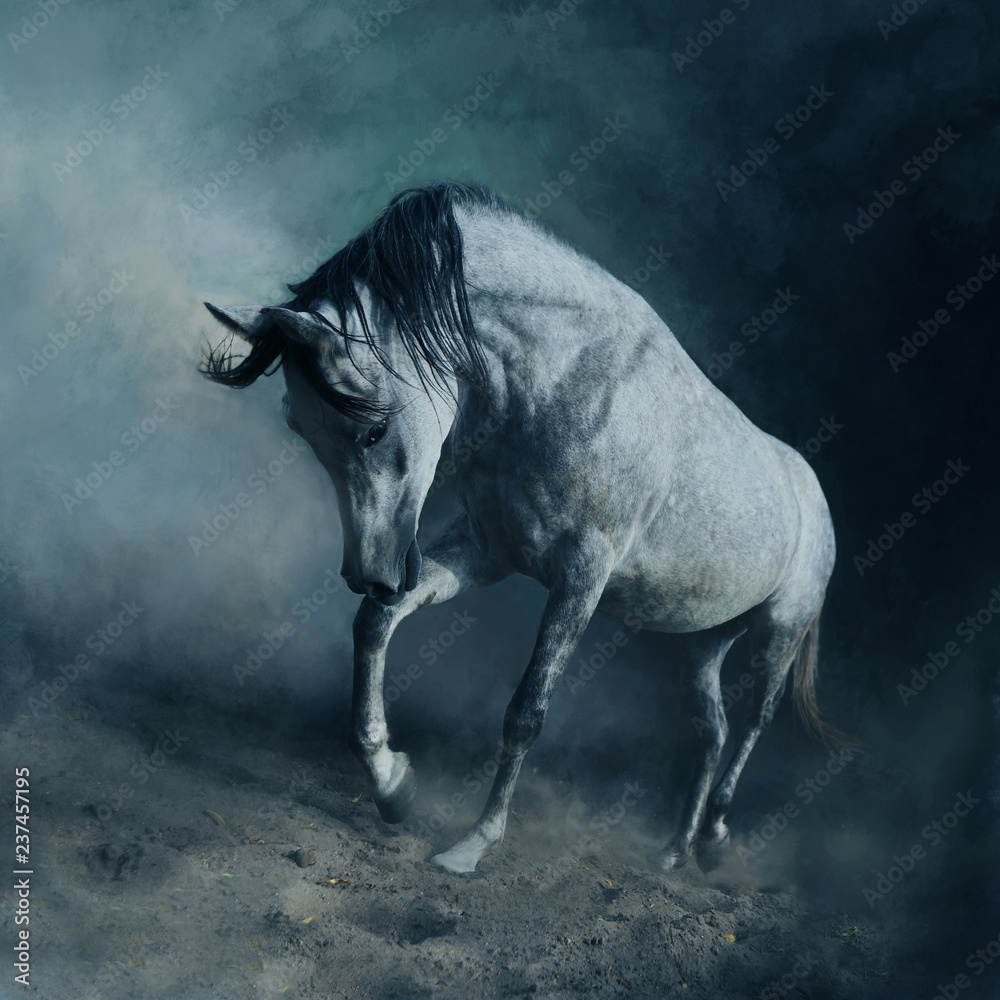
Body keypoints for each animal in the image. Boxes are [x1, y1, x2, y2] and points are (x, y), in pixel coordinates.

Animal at [202, 181, 850, 874]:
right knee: (713, 731)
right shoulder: (485, 553)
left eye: (373, 430)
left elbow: (526, 713)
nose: (368, 574)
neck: (565, 379)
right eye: (302, 431)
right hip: (706, 642)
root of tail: (811, 488)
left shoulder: (581, 578)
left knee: (753, 723)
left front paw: (474, 843)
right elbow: (378, 624)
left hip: (779, 630)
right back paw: (673, 852)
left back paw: (715, 839)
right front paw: (391, 782)